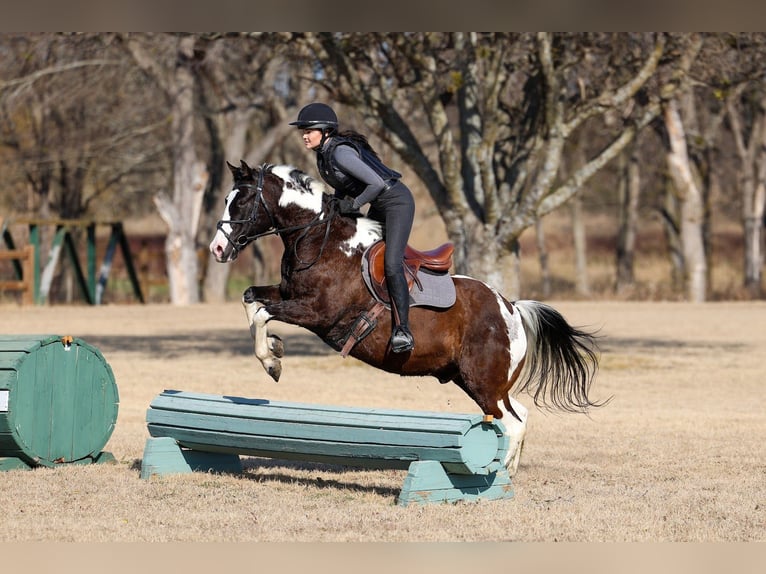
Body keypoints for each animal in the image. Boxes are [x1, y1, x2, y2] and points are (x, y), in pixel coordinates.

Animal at [209, 160, 604, 475]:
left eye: (242, 200)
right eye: (228, 198)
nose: (217, 248)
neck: (321, 239)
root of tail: (512, 309)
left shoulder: (317, 312)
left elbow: (263, 313)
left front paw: (272, 359)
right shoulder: (288, 294)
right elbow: (251, 299)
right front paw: (274, 352)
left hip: (481, 381)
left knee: (511, 423)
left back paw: (496, 475)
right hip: (476, 381)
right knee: (517, 414)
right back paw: (506, 471)